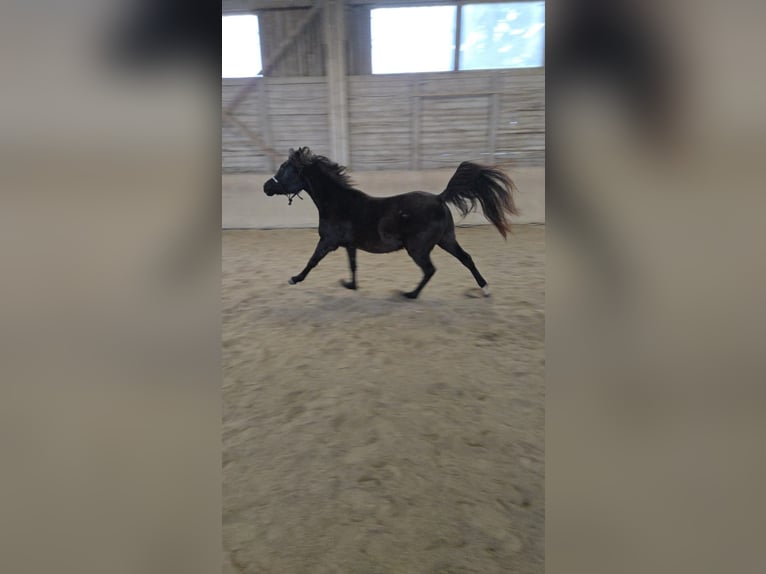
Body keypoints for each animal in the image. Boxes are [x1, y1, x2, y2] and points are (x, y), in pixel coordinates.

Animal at [263, 147, 519, 299]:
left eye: (285, 169)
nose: (266, 187)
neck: (337, 203)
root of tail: (439, 198)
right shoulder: (349, 245)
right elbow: (353, 266)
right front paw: (349, 285)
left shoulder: (328, 242)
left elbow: (312, 261)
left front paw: (294, 279)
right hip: (446, 240)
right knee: (466, 258)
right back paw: (484, 289)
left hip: (418, 248)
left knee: (430, 269)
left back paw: (410, 294)